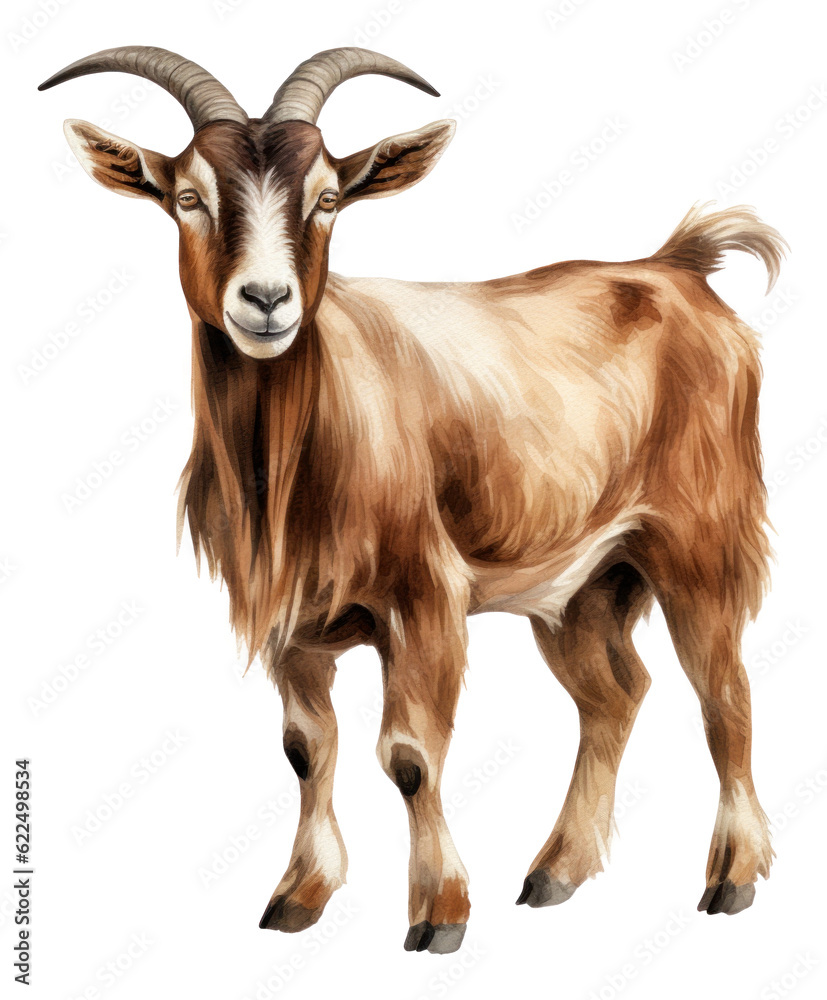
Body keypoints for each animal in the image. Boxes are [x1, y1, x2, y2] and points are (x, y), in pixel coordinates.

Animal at [41, 45, 785, 955]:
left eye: (328, 197)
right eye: (188, 196)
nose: (266, 301)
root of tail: (678, 266)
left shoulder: (424, 596)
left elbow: (408, 754)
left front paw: (438, 913)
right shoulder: (294, 622)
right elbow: (304, 748)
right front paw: (297, 897)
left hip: (700, 539)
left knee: (725, 696)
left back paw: (731, 878)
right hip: (581, 586)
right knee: (615, 694)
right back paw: (553, 874)